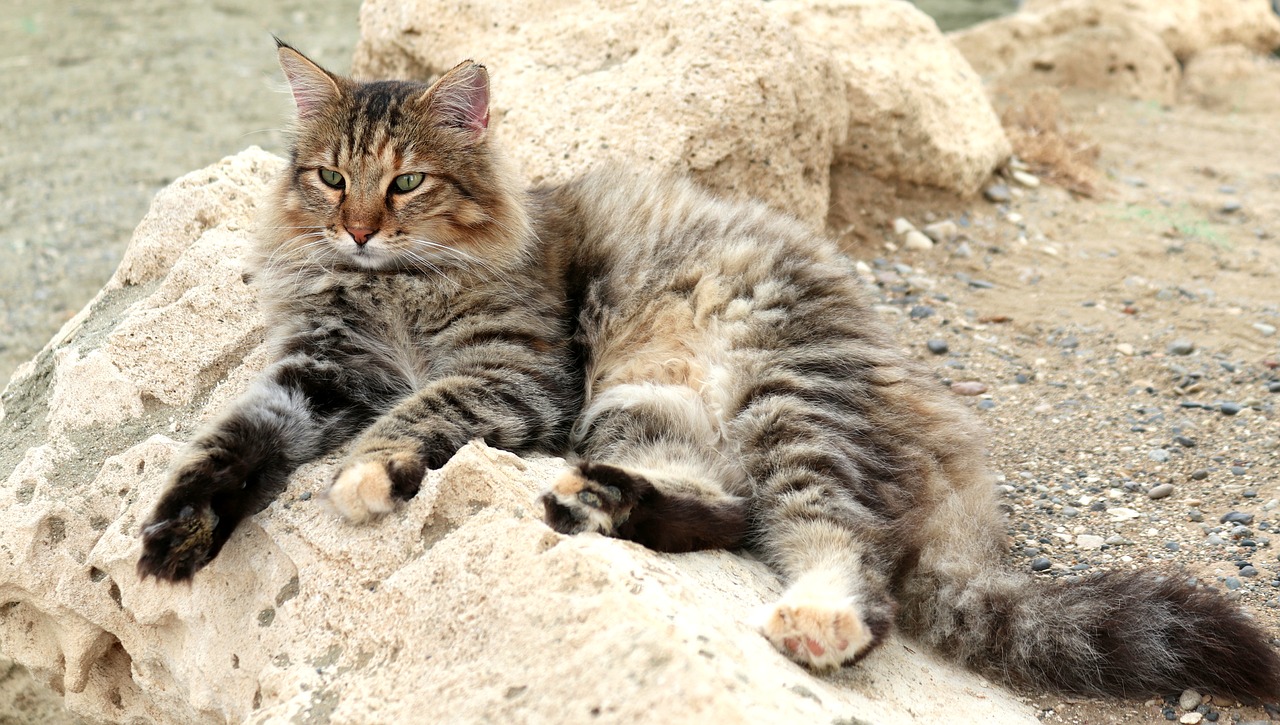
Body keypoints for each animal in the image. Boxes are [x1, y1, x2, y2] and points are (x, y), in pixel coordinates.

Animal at [140, 41, 1280, 707]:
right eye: (332, 177)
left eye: (407, 181)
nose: (359, 229)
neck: (390, 290)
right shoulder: (317, 371)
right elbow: (233, 438)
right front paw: (175, 531)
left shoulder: (517, 372)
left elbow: (419, 407)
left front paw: (369, 475)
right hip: (639, 407)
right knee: (729, 510)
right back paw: (601, 504)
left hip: (777, 404)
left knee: (842, 550)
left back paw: (814, 616)